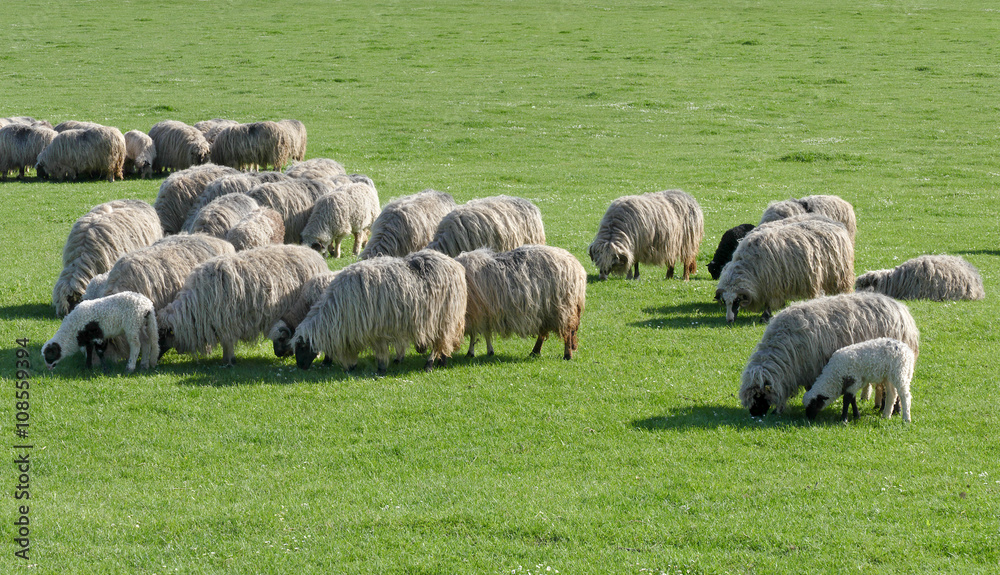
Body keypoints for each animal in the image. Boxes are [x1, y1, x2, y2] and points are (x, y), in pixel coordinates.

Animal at [157, 244, 328, 365]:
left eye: (161, 336)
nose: (155, 360)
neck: (196, 305)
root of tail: (313, 254)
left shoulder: (226, 321)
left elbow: (228, 342)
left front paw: (229, 361)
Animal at [291, 249, 467, 375]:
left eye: (302, 347)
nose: (300, 366)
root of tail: (454, 265)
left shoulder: (376, 331)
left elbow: (380, 351)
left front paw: (381, 368)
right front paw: (352, 366)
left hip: (443, 318)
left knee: (440, 342)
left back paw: (430, 364)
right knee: (445, 341)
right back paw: (442, 362)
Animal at [455, 245, 586, 360]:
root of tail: (577, 268)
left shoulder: (475, 313)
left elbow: (474, 333)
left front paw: (470, 353)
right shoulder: (484, 312)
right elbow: (485, 332)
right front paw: (488, 351)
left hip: (562, 308)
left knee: (567, 332)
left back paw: (567, 355)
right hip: (546, 310)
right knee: (544, 331)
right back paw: (535, 351)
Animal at [715, 216, 854, 324]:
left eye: (737, 300)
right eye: (724, 301)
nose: (729, 321)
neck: (750, 267)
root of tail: (837, 225)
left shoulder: (772, 286)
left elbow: (769, 303)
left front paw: (765, 317)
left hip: (839, 275)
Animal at [739, 292, 919, 417]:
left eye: (759, 395)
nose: (754, 414)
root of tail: (901, 308)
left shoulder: (815, 369)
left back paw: (896, 411)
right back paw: (882, 408)